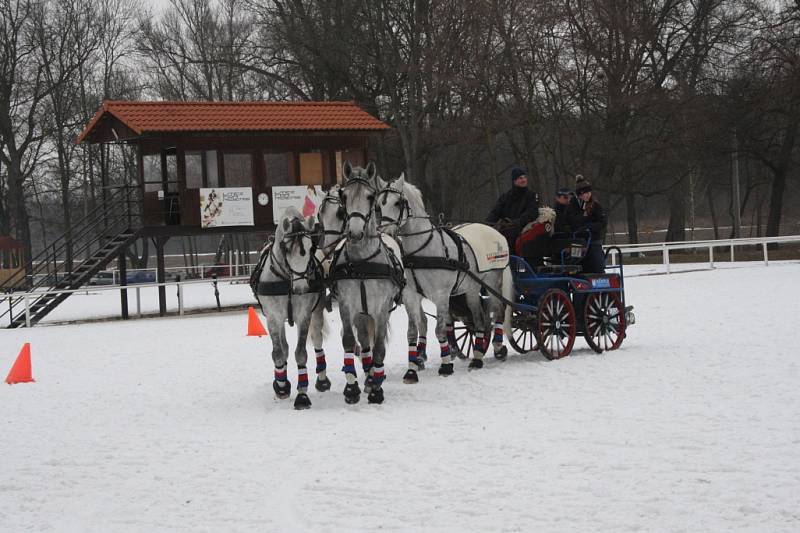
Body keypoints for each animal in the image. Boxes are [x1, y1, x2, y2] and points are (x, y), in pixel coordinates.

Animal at [250, 207, 324, 408]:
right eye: (286, 249)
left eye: (311, 248)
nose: (301, 289)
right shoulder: (273, 317)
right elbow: (278, 353)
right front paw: (282, 387)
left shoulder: (304, 315)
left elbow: (301, 353)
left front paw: (302, 395)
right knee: (283, 348)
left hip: (316, 313)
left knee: (317, 340)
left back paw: (322, 380)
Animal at [330, 162, 406, 404]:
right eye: (344, 196)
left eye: (370, 196)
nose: (354, 232)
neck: (362, 263)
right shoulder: (347, 306)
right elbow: (348, 341)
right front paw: (352, 388)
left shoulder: (381, 309)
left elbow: (379, 347)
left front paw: (376, 391)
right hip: (361, 314)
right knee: (364, 343)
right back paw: (368, 377)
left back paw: (374, 379)